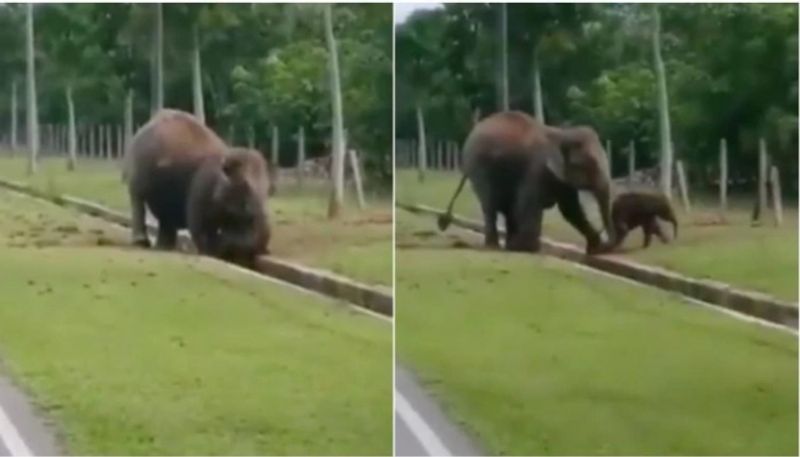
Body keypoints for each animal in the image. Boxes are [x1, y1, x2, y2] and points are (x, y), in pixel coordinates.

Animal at [440, 110, 616, 253]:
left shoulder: (561, 177)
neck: (561, 133)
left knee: (506, 208)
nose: (607, 245)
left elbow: (571, 210)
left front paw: (595, 248)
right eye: (589, 165)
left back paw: (507, 244)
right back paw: (495, 246)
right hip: (478, 167)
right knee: (490, 205)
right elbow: (529, 205)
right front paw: (527, 248)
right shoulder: (536, 169)